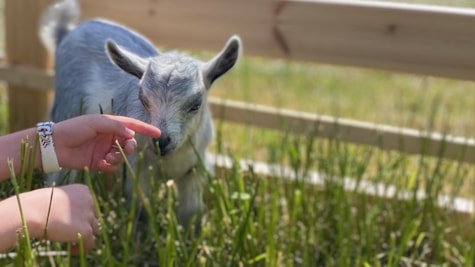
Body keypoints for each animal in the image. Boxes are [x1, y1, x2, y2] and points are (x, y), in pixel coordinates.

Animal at [39, 0, 242, 229]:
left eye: (196, 104)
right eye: (143, 99)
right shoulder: (138, 167)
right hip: (69, 104)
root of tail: (66, 32)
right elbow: (141, 208)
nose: (161, 141)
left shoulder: (194, 168)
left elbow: (191, 213)